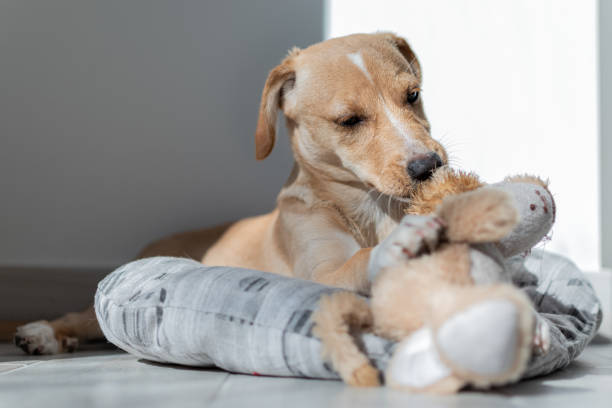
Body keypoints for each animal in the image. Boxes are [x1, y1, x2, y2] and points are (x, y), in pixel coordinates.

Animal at [14, 32, 450, 354]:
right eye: (349, 120)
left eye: (413, 95)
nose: (428, 166)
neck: (370, 205)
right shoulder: (320, 273)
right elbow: (360, 259)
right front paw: (401, 242)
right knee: (83, 317)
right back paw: (42, 334)